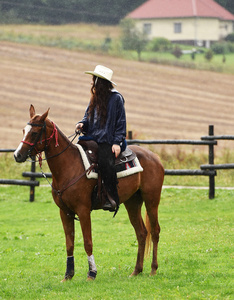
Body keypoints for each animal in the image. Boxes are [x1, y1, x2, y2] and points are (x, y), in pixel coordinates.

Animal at [14, 105, 165, 282]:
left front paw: (92, 273)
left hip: (152, 200)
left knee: (154, 232)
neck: (69, 166)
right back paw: (136, 270)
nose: (17, 155)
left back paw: (153, 269)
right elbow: (69, 243)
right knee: (141, 233)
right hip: (132, 203)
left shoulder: (83, 211)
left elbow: (87, 242)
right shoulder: (65, 212)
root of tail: (155, 157)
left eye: (35, 132)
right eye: (24, 130)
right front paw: (68, 275)